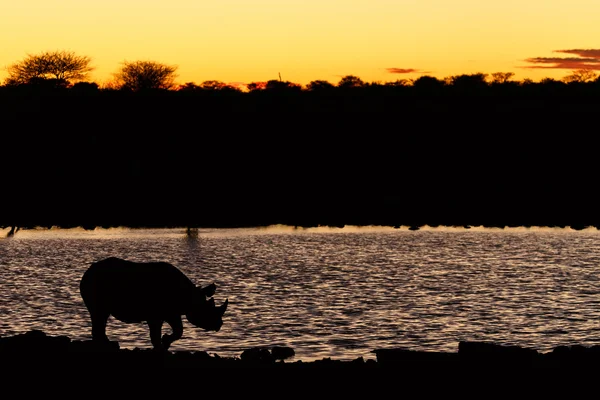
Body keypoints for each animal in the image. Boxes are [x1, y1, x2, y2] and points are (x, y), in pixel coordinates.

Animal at [79, 258, 227, 348]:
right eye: (207, 310)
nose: (219, 325)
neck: (190, 296)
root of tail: (88, 271)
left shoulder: (172, 312)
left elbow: (178, 330)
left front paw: (165, 343)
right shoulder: (156, 315)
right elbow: (156, 334)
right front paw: (161, 345)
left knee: (100, 316)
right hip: (95, 282)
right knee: (99, 314)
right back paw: (110, 345)